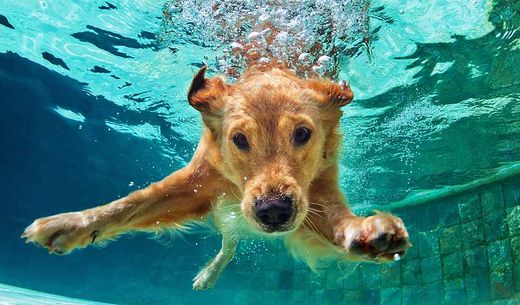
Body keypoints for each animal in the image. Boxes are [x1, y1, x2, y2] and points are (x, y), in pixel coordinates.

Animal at [22, 63, 410, 288]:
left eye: (302, 134)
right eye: (239, 139)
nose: (273, 212)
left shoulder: (317, 193)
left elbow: (339, 221)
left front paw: (368, 231)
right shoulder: (197, 182)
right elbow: (131, 204)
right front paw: (71, 224)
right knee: (229, 241)